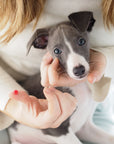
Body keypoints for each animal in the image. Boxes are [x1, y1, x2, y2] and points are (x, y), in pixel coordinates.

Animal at [8, 11, 114, 143]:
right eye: (57, 51)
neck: (77, 85)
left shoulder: (85, 128)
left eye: (81, 41)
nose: (79, 70)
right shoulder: (57, 130)